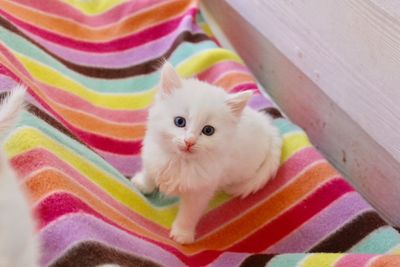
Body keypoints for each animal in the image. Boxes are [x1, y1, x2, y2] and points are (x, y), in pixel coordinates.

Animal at [133, 62, 282, 245]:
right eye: (179, 121)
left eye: (208, 130)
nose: (189, 141)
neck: (179, 161)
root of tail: (268, 126)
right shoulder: (152, 156)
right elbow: (150, 173)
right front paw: (143, 184)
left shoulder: (200, 191)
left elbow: (189, 214)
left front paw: (182, 234)